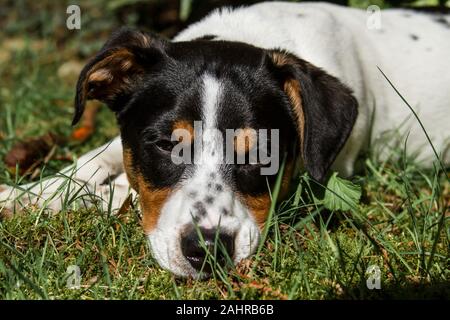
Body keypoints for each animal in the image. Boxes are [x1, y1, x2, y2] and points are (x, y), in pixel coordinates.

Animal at [0, 1, 450, 278]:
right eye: (166, 144)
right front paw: (27, 194)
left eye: (264, 153)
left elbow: (119, 189)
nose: (206, 252)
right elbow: (97, 161)